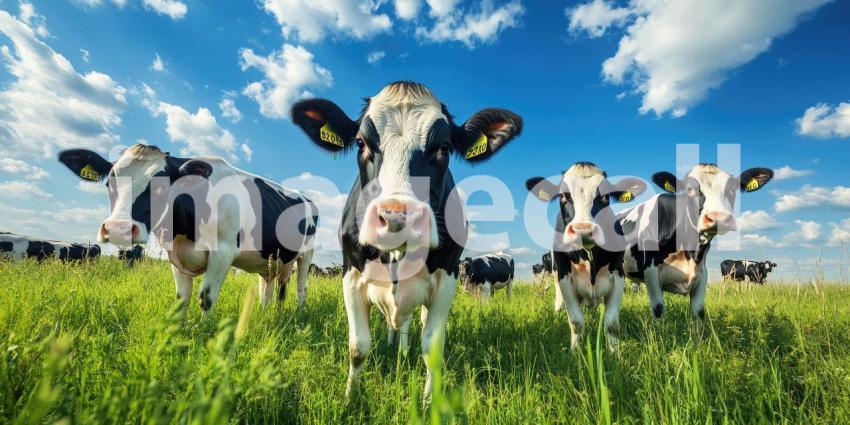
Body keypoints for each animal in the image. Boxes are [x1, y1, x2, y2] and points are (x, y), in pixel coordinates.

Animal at [58, 143, 318, 312]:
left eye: (162, 187)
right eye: (109, 183)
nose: (117, 229)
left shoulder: (223, 253)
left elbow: (206, 297)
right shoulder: (175, 255)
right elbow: (182, 298)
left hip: (306, 255)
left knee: (301, 287)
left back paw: (298, 315)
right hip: (271, 260)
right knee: (268, 287)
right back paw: (264, 314)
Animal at [291, 81, 522, 400]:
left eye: (444, 147)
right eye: (361, 143)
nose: (396, 217)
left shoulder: (448, 278)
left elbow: (431, 346)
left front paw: (428, 401)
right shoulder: (350, 275)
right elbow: (358, 347)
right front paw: (351, 397)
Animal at [526, 162, 645, 351]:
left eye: (605, 197)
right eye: (563, 196)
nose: (583, 230)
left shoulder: (618, 275)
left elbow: (611, 323)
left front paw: (614, 352)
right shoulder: (564, 278)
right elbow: (576, 322)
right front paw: (576, 352)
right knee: (559, 302)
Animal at [619, 164, 773, 324]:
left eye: (732, 189)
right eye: (689, 189)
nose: (719, 217)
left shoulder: (702, 273)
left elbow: (698, 311)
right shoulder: (651, 271)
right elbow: (658, 308)